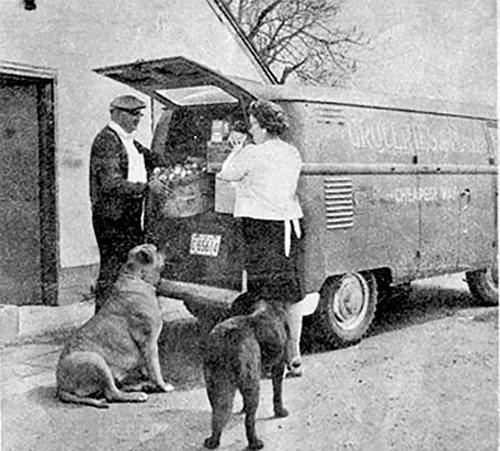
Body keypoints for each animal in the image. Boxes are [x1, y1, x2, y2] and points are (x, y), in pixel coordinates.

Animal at [56, 244, 174, 410]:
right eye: (156, 250)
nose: (167, 247)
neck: (136, 277)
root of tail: (60, 386)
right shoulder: (150, 343)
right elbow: (155, 369)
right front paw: (162, 386)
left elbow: (146, 368)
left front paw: (150, 381)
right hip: (96, 360)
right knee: (112, 393)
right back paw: (137, 394)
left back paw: (140, 386)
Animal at [203, 294, 290, 450]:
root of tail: (226, 338)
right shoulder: (279, 365)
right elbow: (277, 393)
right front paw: (280, 412)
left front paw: (243, 409)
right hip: (253, 385)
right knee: (249, 421)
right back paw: (255, 443)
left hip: (213, 386)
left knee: (217, 415)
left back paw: (213, 441)